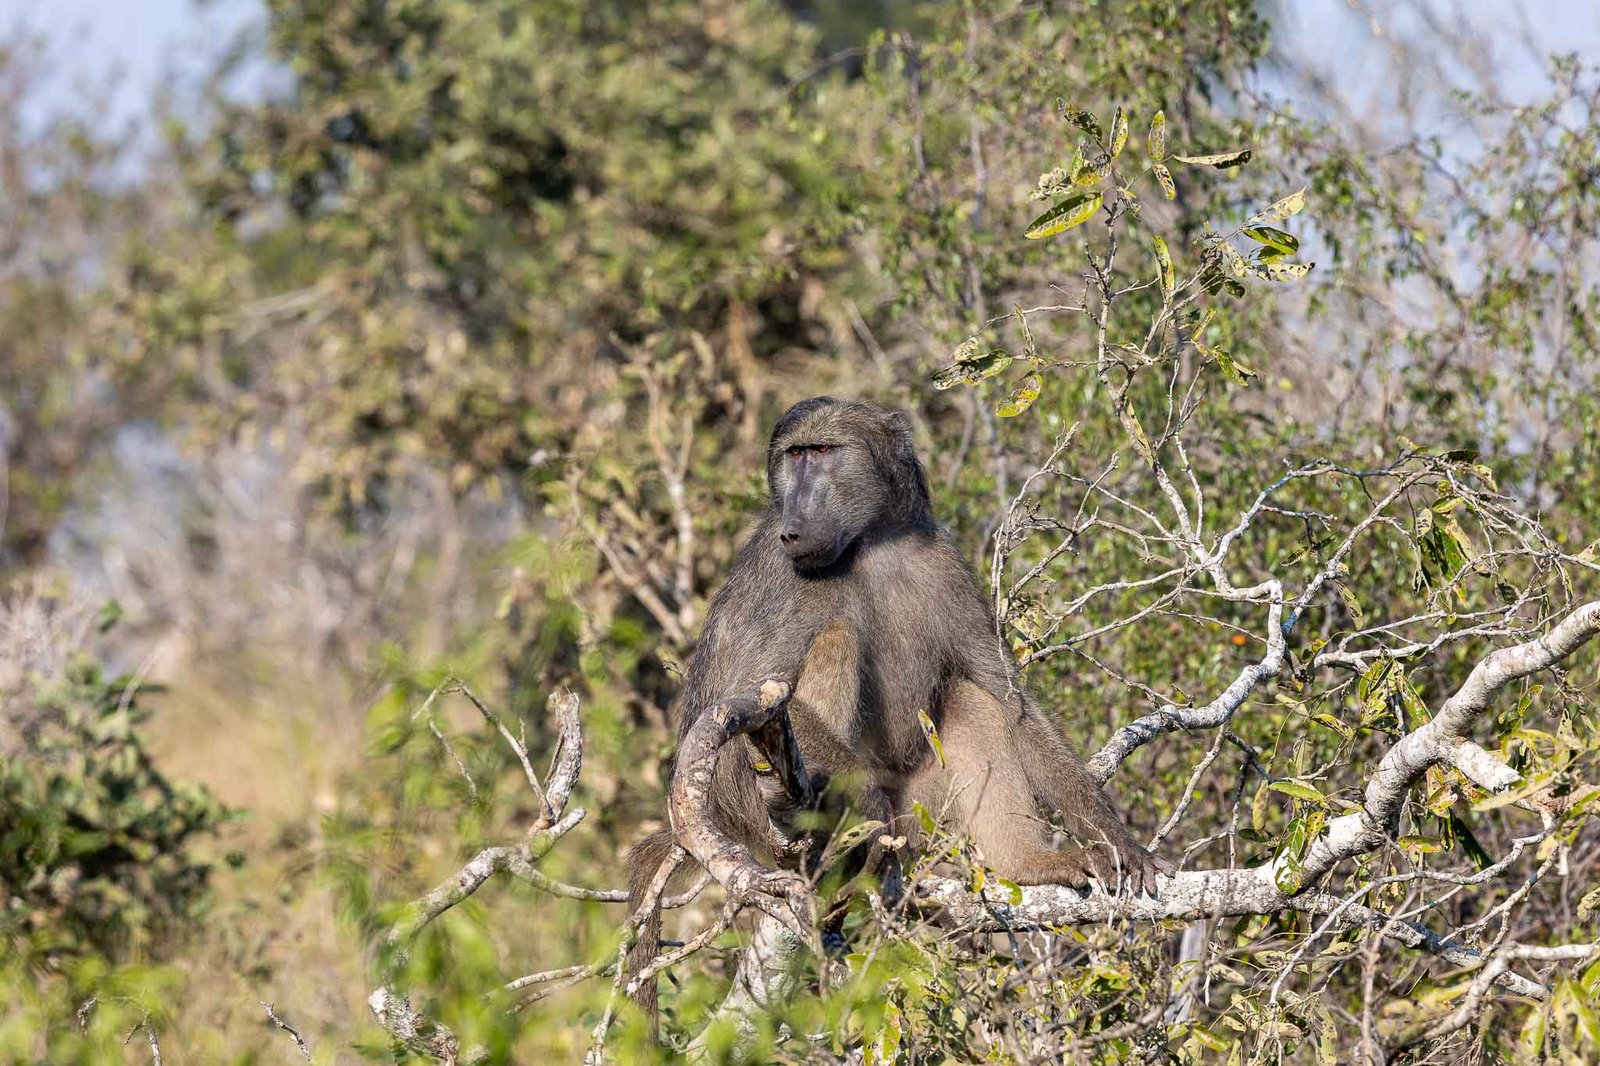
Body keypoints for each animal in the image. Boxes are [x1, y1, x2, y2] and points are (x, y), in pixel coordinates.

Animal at [625, 396, 1170, 1036]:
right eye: (793, 457)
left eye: (821, 452)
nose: (793, 523)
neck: (870, 544)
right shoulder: (777, 573)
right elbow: (741, 700)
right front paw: (864, 809)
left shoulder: (940, 560)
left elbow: (1007, 699)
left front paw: (1119, 841)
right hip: (755, 808)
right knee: (833, 643)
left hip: (923, 810)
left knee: (970, 700)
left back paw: (1026, 864)